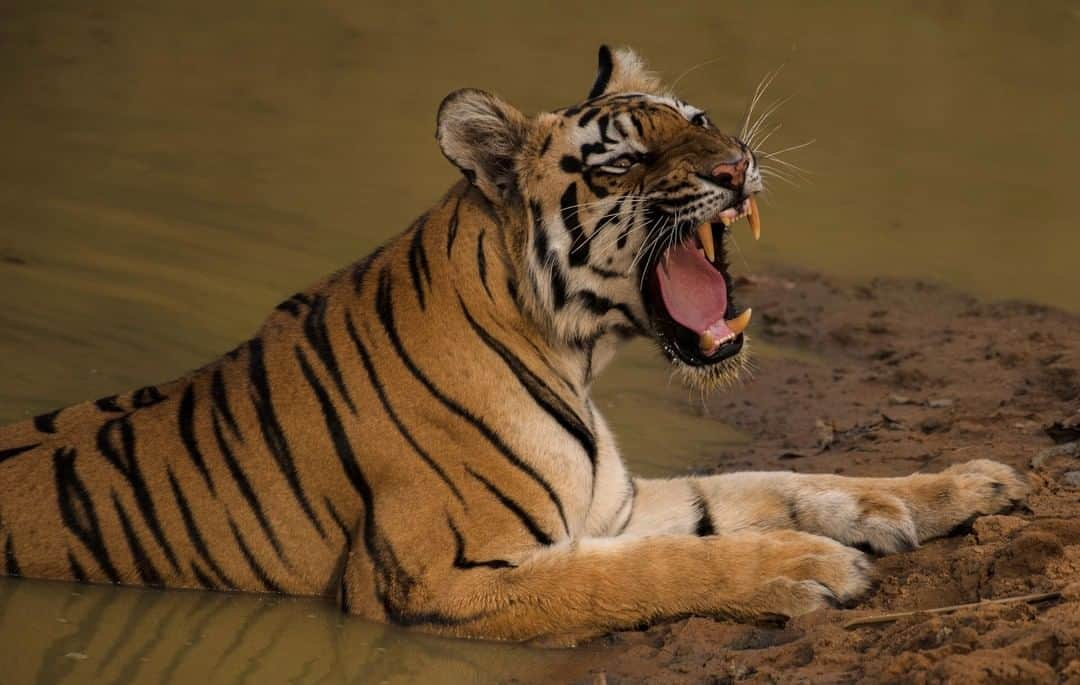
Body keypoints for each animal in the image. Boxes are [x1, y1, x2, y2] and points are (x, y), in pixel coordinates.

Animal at [0, 45, 1028, 643]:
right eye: (625, 160)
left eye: (698, 121)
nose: (738, 165)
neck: (575, 355)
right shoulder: (450, 575)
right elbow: (667, 567)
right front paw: (809, 566)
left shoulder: (611, 506)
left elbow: (774, 482)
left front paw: (959, 486)